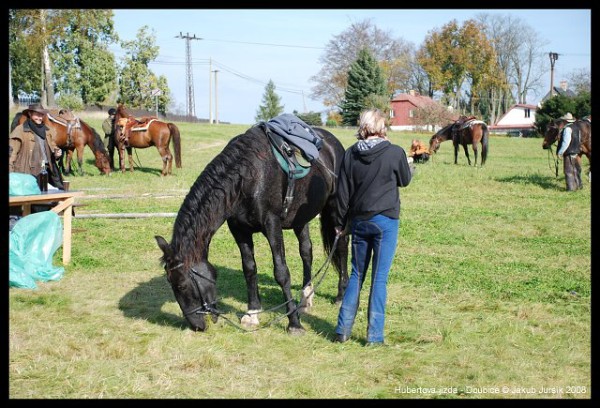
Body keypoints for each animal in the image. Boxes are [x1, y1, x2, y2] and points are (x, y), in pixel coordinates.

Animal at [156, 126, 352, 334]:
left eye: (182, 286)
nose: (197, 326)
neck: (246, 176)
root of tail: (332, 141)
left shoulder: (272, 224)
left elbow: (281, 272)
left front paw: (294, 323)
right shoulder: (239, 229)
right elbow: (249, 269)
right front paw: (252, 313)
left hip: (335, 209)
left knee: (341, 247)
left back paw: (341, 295)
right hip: (301, 218)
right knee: (306, 251)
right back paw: (306, 297)